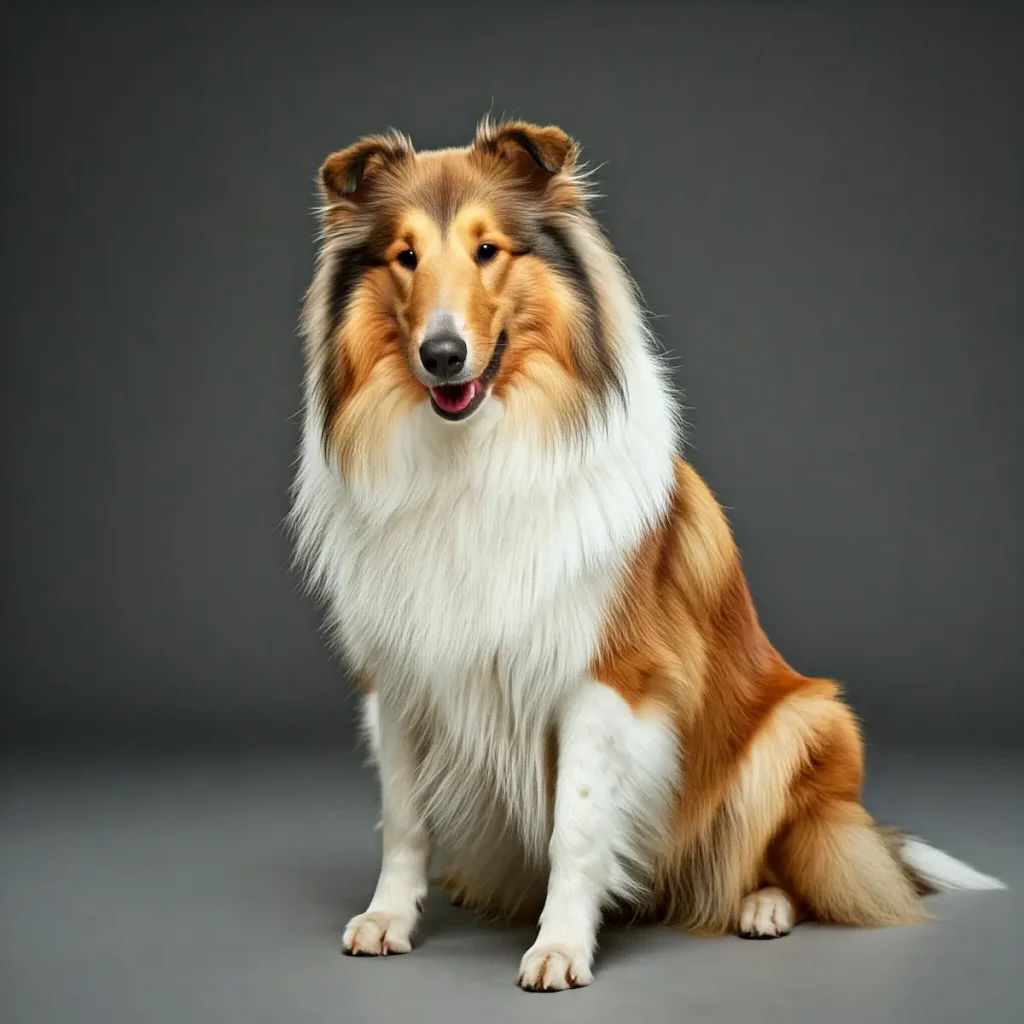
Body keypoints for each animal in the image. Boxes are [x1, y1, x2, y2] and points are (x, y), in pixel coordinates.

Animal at [290, 117, 1007, 991]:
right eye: (405, 255)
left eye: (489, 249)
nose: (443, 355)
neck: (476, 454)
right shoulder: (398, 677)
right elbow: (402, 818)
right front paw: (389, 918)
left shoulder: (605, 675)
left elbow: (576, 825)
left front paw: (560, 947)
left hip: (803, 724)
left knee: (781, 862)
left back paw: (761, 907)